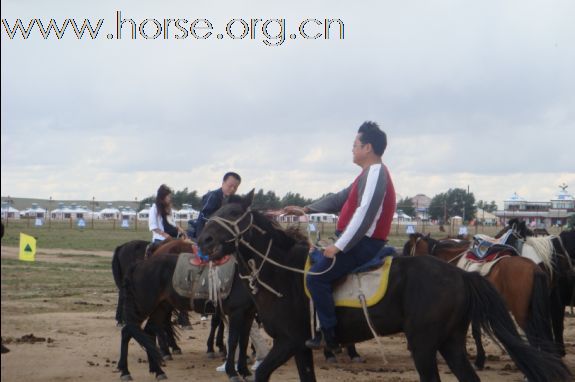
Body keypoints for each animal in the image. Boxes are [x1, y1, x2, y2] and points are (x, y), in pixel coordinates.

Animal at [402, 231, 556, 368]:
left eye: (409, 251)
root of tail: (534, 268)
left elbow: (474, 333)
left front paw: (478, 360)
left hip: (522, 314)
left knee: (533, 337)